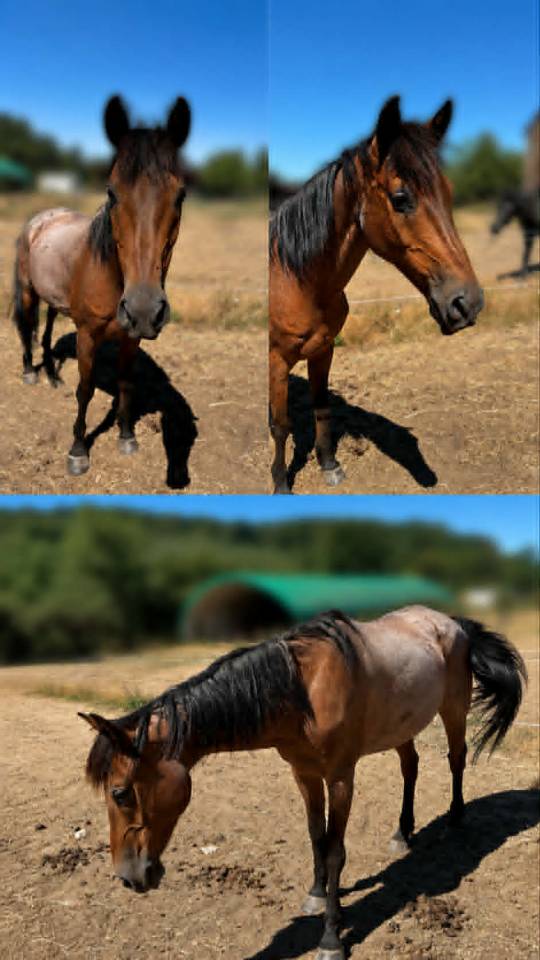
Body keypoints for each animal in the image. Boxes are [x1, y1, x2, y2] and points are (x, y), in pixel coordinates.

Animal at [12, 94, 191, 477]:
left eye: (181, 195)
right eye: (112, 192)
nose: (143, 308)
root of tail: (41, 218)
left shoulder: (130, 338)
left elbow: (125, 385)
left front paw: (126, 437)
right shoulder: (87, 336)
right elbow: (86, 390)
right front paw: (78, 450)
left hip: (55, 300)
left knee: (46, 330)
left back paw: (52, 376)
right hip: (29, 292)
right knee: (26, 327)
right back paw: (30, 372)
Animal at [79, 605, 526, 960]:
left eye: (120, 792)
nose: (128, 877)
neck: (304, 691)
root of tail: (452, 622)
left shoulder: (341, 777)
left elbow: (335, 852)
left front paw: (331, 939)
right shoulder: (304, 774)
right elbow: (316, 837)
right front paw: (317, 896)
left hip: (454, 708)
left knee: (456, 757)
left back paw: (455, 818)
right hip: (403, 725)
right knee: (410, 767)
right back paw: (402, 833)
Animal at [269, 96, 484, 494]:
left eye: (448, 192)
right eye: (400, 198)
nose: (468, 302)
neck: (298, 280)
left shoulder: (324, 349)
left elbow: (322, 406)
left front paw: (330, 465)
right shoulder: (277, 360)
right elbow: (280, 426)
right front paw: (280, 484)